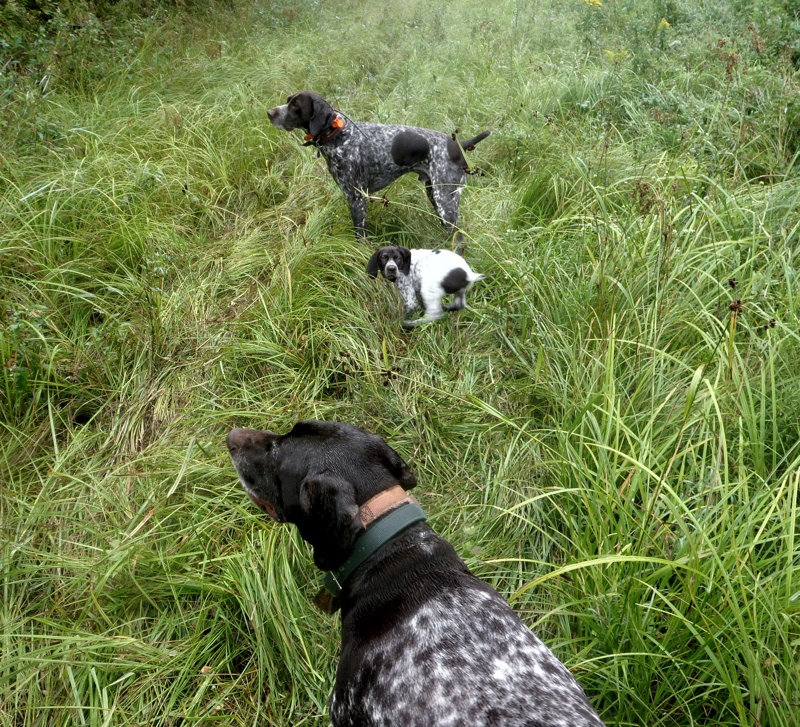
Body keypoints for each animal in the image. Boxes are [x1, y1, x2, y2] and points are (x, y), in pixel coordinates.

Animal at [268, 91, 488, 242]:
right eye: (288, 100)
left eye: (295, 105)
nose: (269, 112)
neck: (338, 135)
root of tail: (460, 145)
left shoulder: (357, 199)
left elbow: (360, 237)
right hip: (436, 196)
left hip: (445, 201)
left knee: (459, 240)